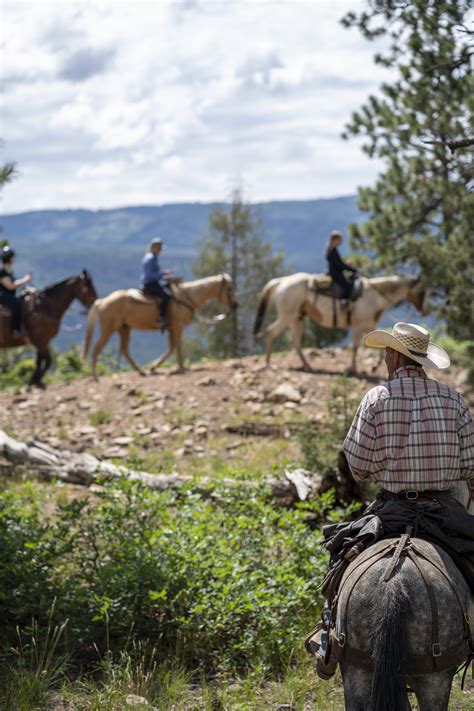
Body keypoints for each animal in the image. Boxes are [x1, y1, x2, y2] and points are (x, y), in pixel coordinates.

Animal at [83, 274, 237, 382]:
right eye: (229, 288)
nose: (236, 305)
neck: (186, 298)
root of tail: (101, 301)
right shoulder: (177, 326)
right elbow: (176, 346)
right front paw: (179, 367)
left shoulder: (172, 328)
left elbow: (173, 347)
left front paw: (159, 366)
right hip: (109, 329)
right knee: (97, 348)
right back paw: (95, 377)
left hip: (124, 328)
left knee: (124, 350)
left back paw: (141, 371)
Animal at [254, 272, 424, 372]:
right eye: (421, 288)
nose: (422, 308)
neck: (375, 296)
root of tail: (281, 281)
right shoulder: (357, 326)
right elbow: (355, 347)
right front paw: (354, 369)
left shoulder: (369, 325)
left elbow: (383, 343)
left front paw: (374, 366)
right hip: (287, 317)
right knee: (270, 333)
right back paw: (268, 363)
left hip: (297, 318)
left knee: (294, 341)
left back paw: (307, 366)